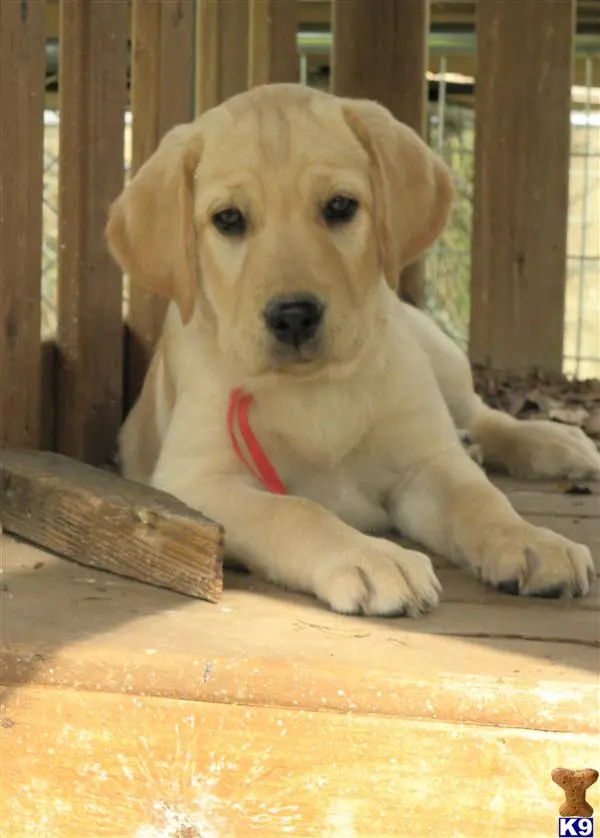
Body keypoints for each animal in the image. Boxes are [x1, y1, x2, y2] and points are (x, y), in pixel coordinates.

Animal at [106, 83, 596, 616]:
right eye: (229, 219)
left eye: (340, 207)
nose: (293, 315)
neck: (316, 390)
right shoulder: (197, 483)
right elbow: (297, 512)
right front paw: (371, 556)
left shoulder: (426, 465)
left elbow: (479, 500)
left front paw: (531, 541)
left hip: (434, 351)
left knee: (479, 413)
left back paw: (553, 441)